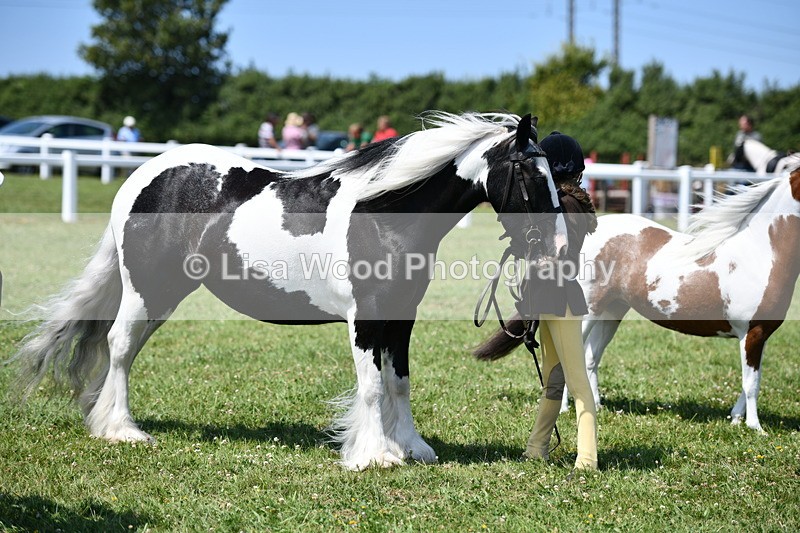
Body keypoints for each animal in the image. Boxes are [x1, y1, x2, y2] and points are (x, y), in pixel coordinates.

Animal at [10, 112, 568, 470]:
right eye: (528, 171)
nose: (560, 245)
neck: (383, 214)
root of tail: (142, 175)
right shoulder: (366, 319)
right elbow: (371, 385)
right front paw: (373, 455)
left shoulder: (400, 317)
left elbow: (399, 383)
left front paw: (412, 448)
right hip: (145, 288)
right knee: (120, 347)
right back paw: (121, 429)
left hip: (164, 296)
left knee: (121, 349)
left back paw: (100, 415)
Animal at [476, 165, 800, 433]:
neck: (757, 254)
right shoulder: (752, 332)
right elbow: (751, 384)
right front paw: (755, 428)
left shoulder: (756, 337)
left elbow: (748, 382)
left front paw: (736, 419)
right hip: (587, 313)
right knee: (573, 358)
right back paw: (568, 407)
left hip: (611, 313)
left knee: (590, 359)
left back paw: (596, 405)